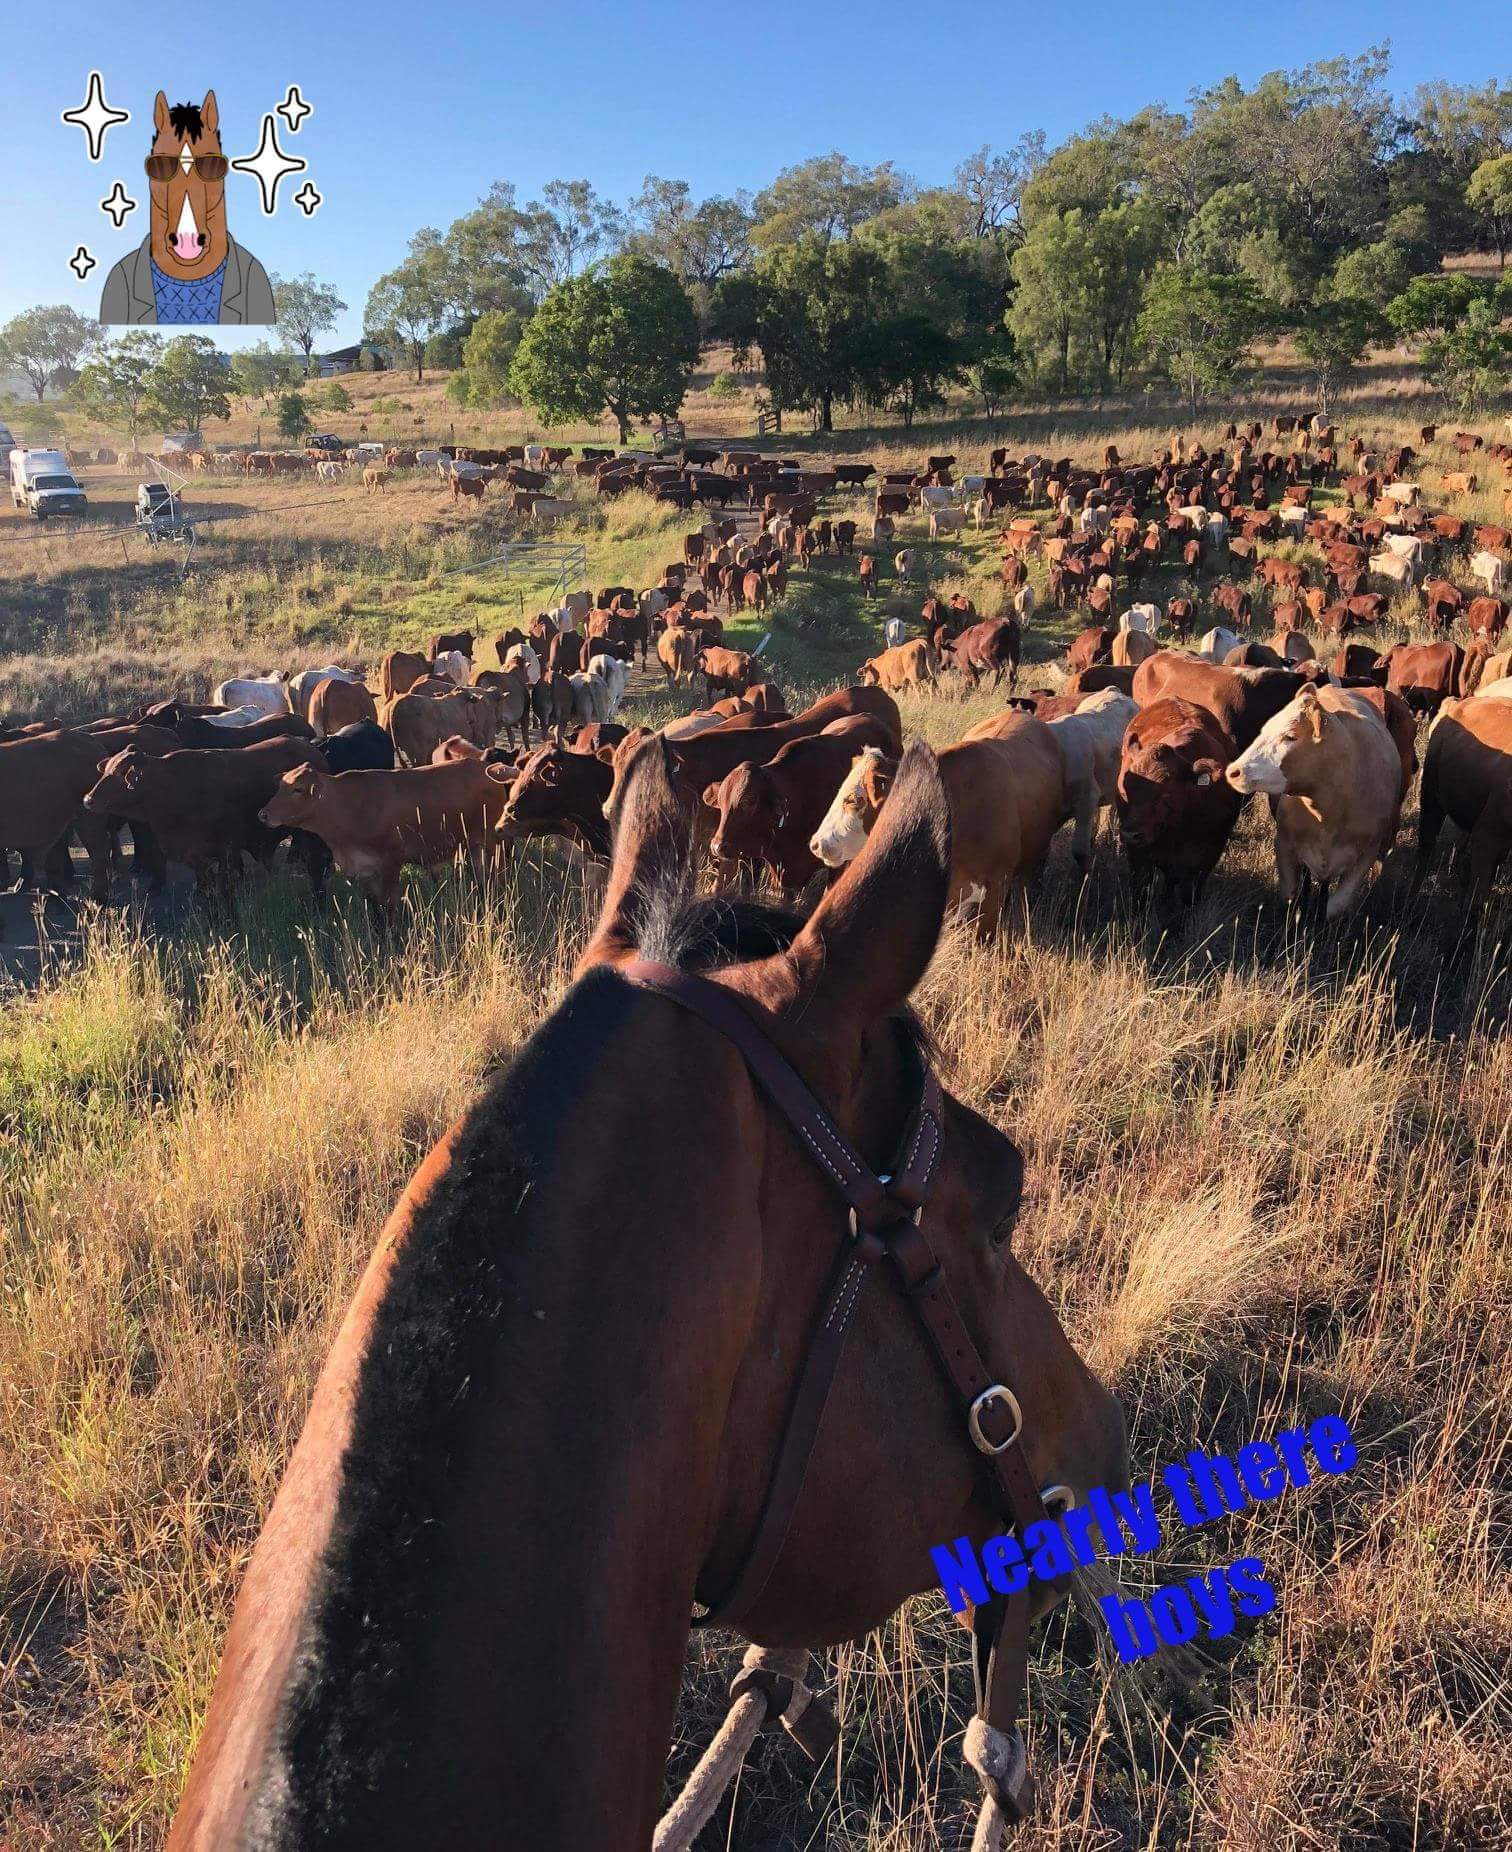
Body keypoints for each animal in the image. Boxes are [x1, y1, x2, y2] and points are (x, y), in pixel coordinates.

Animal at [1116, 697, 1244, 910]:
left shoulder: (1207, 855)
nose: (1130, 834)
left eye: (1165, 794)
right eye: (1126, 789)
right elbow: (1141, 890)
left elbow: (1189, 893)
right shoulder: (1138, 854)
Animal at [1226, 685, 1404, 917]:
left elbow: (1335, 908)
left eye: (1290, 736)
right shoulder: (1284, 846)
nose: (1233, 772)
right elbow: (1291, 896)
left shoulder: (1366, 856)